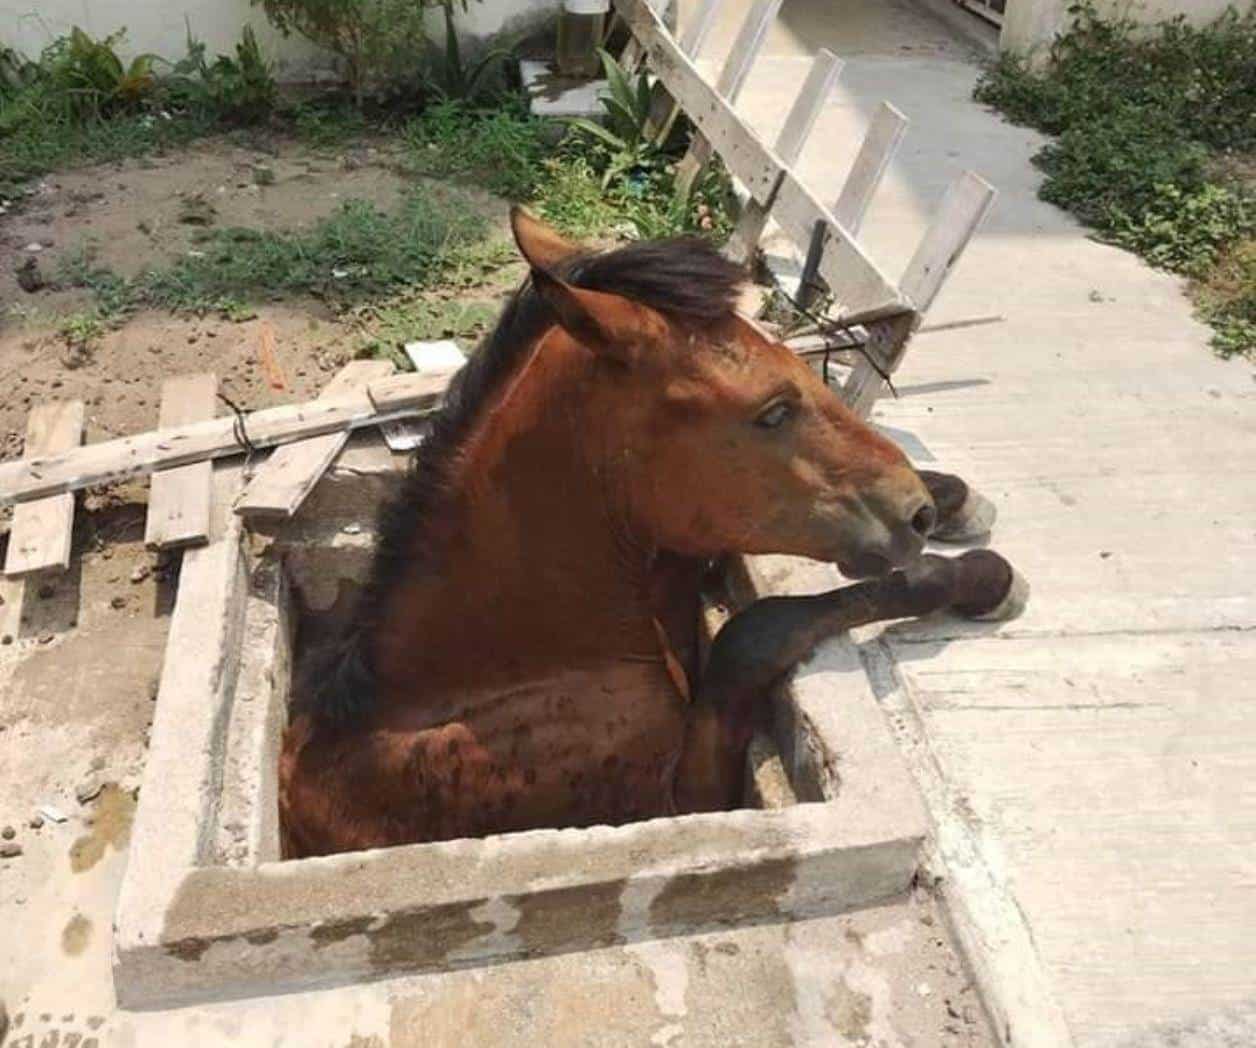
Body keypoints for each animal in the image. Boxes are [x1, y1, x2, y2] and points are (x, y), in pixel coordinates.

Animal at [277, 208, 1019, 854]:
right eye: (772, 412)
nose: (913, 515)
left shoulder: (678, 536)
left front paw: (957, 501)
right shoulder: (680, 800)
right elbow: (756, 631)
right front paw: (982, 575)